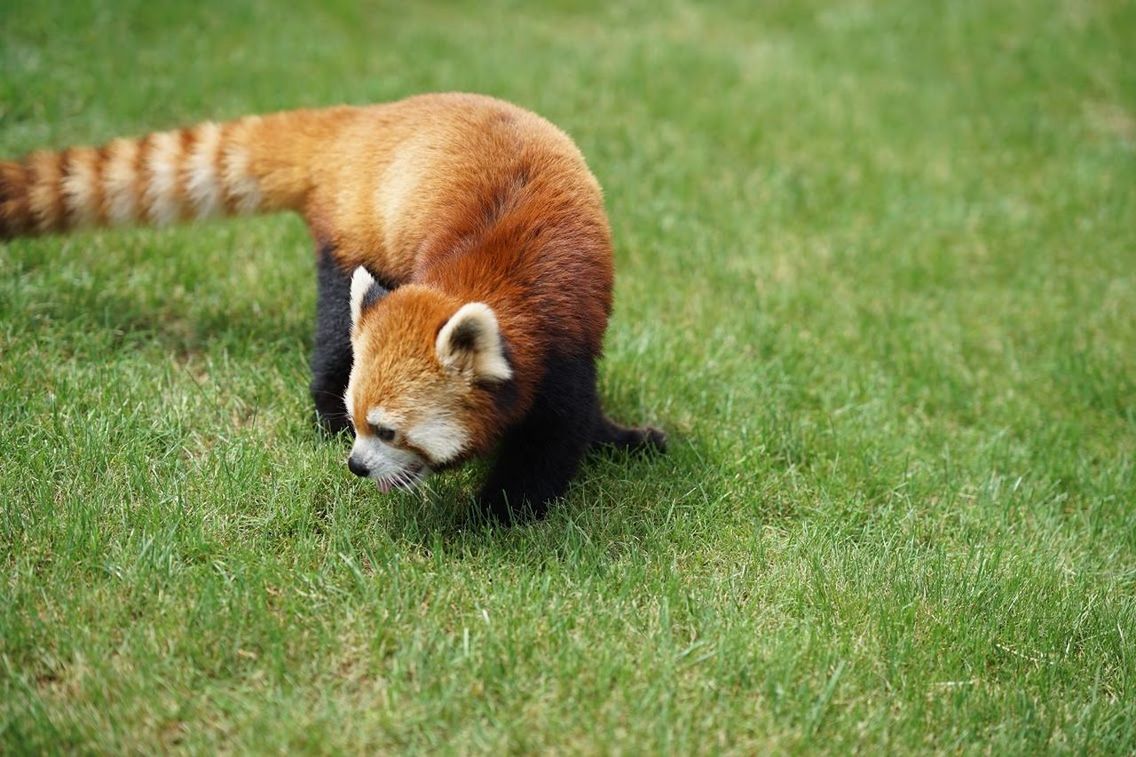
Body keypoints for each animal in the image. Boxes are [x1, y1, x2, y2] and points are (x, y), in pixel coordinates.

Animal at [0, 91, 663, 522]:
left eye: (388, 430)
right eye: (360, 419)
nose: (356, 465)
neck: (497, 277)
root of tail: (361, 122)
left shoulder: (571, 338)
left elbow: (562, 428)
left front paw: (511, 503)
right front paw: (488, 516)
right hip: (355, 232)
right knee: (334, 331)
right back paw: (318, 414)